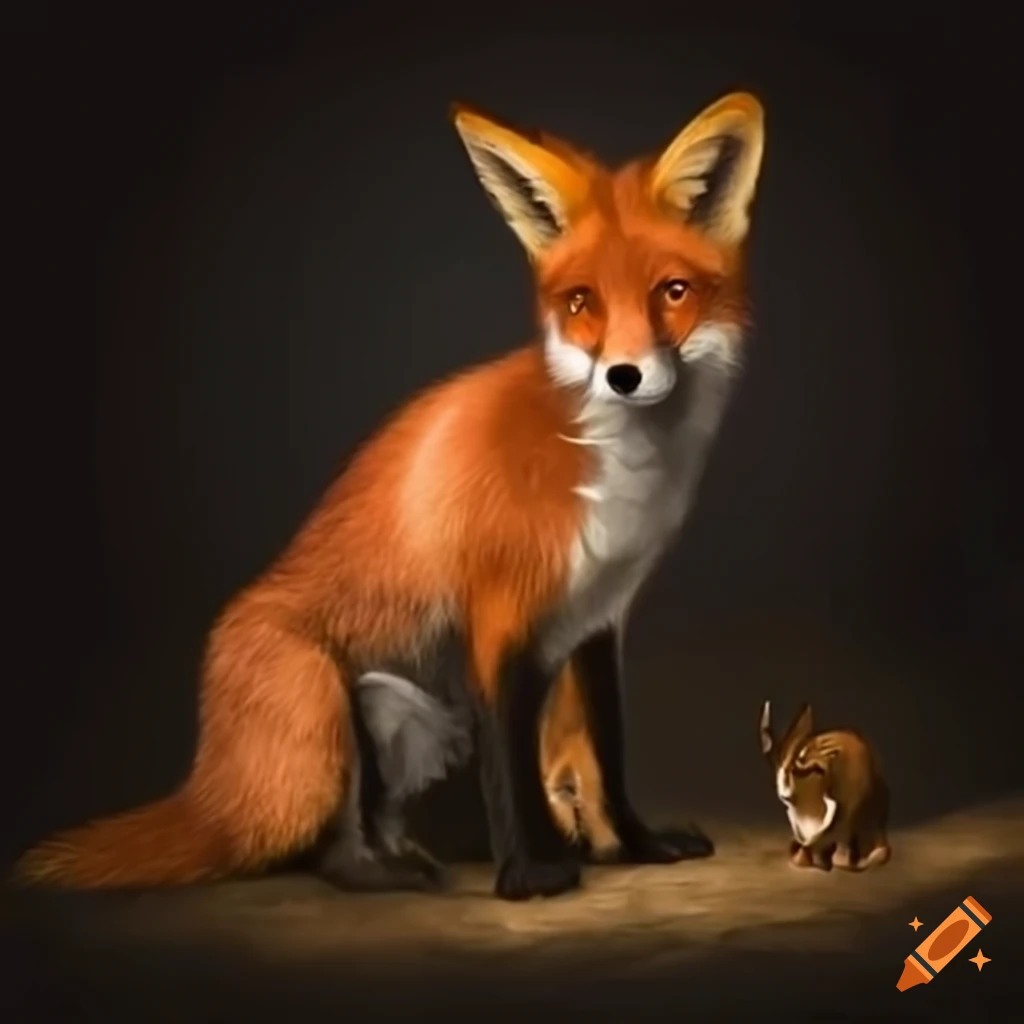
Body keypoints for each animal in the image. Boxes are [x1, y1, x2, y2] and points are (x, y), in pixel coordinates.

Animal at [15, 90, 766, 901]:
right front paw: (530, 874)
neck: (608, 469)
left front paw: (634, 845)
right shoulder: (497, 619)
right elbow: (512, 769)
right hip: (330, 713)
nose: (623, 376)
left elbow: (608, 757)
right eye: (580, 303)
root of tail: (211, 786)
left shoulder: (598, 623)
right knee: (330, 849)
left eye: (673, 292)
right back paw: (402, 873)